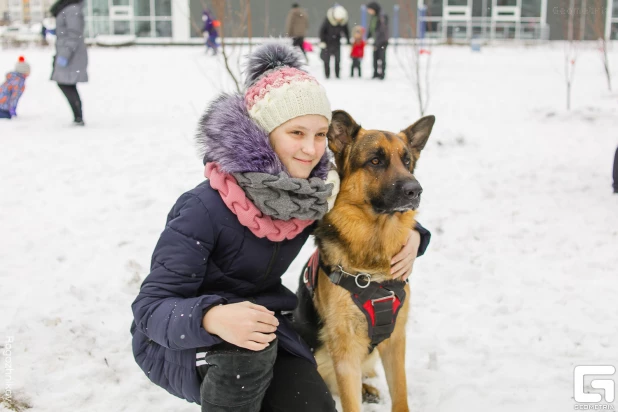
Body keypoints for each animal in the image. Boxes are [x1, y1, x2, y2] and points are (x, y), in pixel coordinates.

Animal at [292, 110, 434, 412]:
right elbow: (349, 399)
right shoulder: (346, 351)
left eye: (407, 161)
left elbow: (400, 394)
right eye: (375, 161)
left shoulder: (395, 341)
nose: (415, 190)